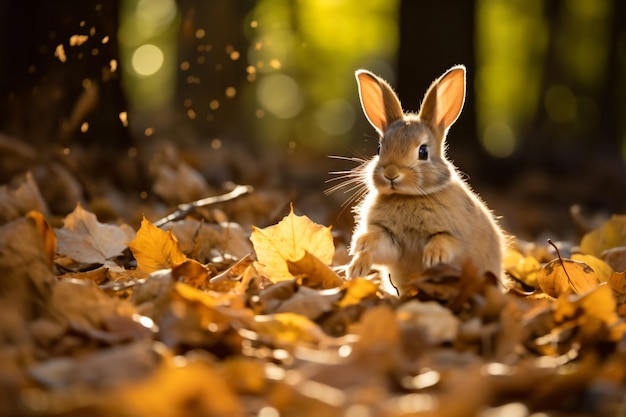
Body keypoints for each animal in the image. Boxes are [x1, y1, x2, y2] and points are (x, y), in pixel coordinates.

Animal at [344, 64, 504, 292]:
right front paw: (358, 256)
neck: (408, 196)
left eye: (423, 152)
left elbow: (444, 240)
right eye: (379, 148)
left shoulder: (456, 236)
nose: (391, 174)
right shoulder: (390, 239)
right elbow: (377, 242)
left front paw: (433, 257)